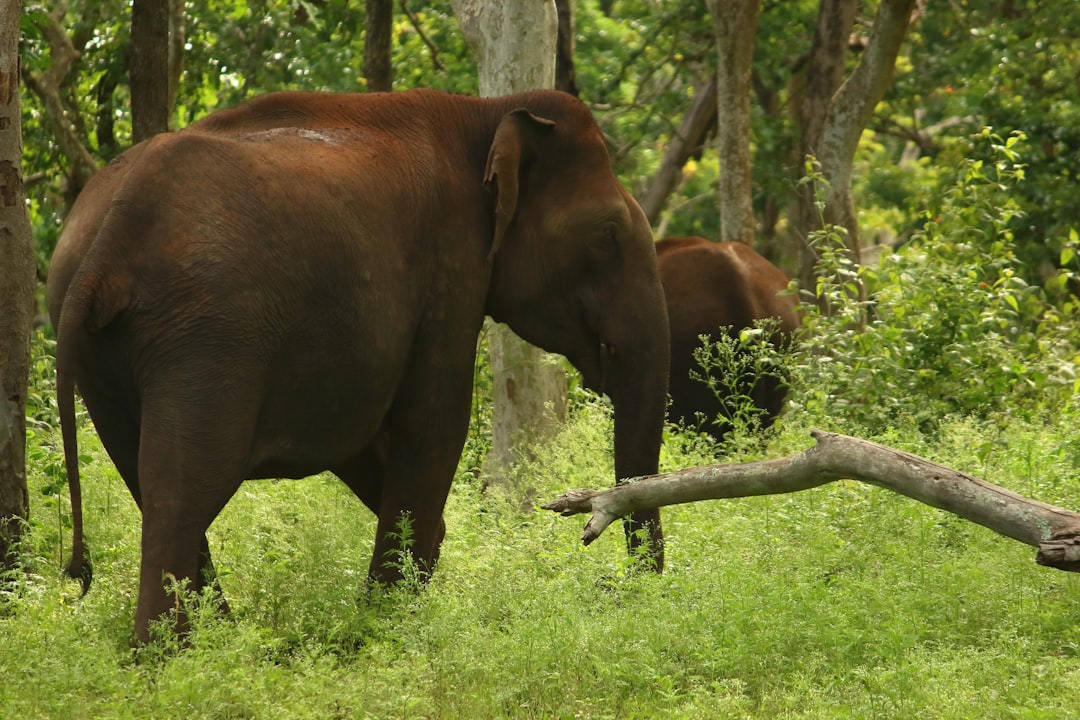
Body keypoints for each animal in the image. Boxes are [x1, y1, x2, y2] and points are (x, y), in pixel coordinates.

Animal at [52, 87, 673, 643]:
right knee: (182, 490)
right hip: (207, 337)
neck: (486, 112)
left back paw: (221, 644)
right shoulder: (450, 264)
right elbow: (435, 420)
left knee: (147, 478)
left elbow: (363, 436)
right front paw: (387, 629)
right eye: (607, 234)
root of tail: (105, 250)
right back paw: (173, 659)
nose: (619, 588)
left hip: (110, 356)